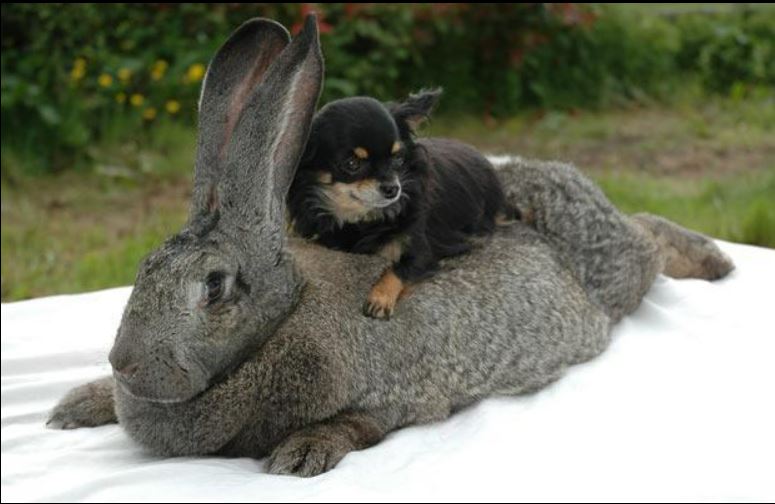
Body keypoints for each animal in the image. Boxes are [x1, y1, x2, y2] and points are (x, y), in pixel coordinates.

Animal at [47, 15, 734, 478]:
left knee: (647, 234)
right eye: (142, 270)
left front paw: (303, 452)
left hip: (616, 267)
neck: (283, 319)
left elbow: (361, 423)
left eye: (214, 287)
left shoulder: (397, 396)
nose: (124, 365)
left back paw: (716, 261)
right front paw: (78, 404)